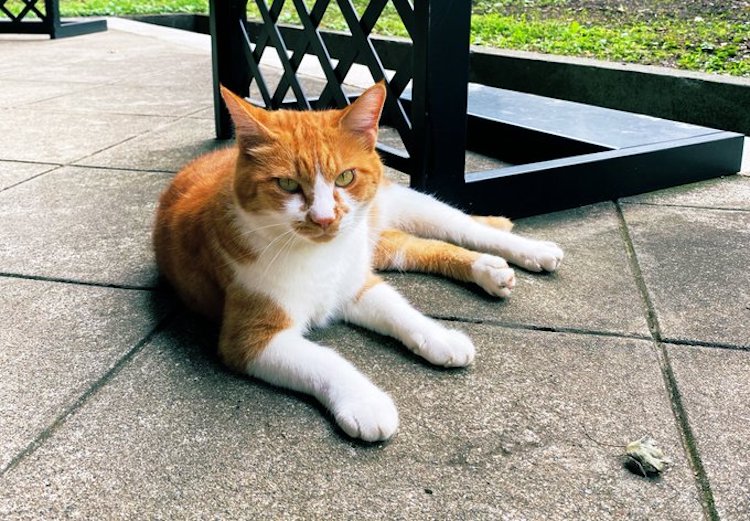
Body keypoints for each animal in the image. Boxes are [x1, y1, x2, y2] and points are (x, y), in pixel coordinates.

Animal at [154, 83, 564, 440]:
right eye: (287, 185)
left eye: (345, 177)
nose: (324, 219)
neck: (321, 257)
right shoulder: (250, 337)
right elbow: (325, 360)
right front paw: (366, 403)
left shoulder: (356, 285)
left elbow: (400, 310)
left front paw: (439, 336)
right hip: (385, 245)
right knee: (423, 246)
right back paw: (490, 269)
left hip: (405, 206)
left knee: (460, 226)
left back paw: (531, 250)